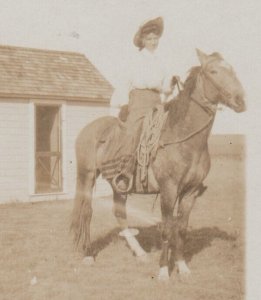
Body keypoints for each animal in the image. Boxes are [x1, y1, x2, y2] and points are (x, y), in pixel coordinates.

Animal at [70, 49, 245, 282]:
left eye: (233, 69)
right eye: (213, 71)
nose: (241, 100)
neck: (183, 138)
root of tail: (89, 128)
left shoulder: (190, 193)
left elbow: (181, 230)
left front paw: (182, 267)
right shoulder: (168, 190)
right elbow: (167, 229)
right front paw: (163, 271)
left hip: (120, 184)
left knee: (120, 213)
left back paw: (140, 253)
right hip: (87, 175)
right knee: (87, 212)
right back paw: (89, 255)